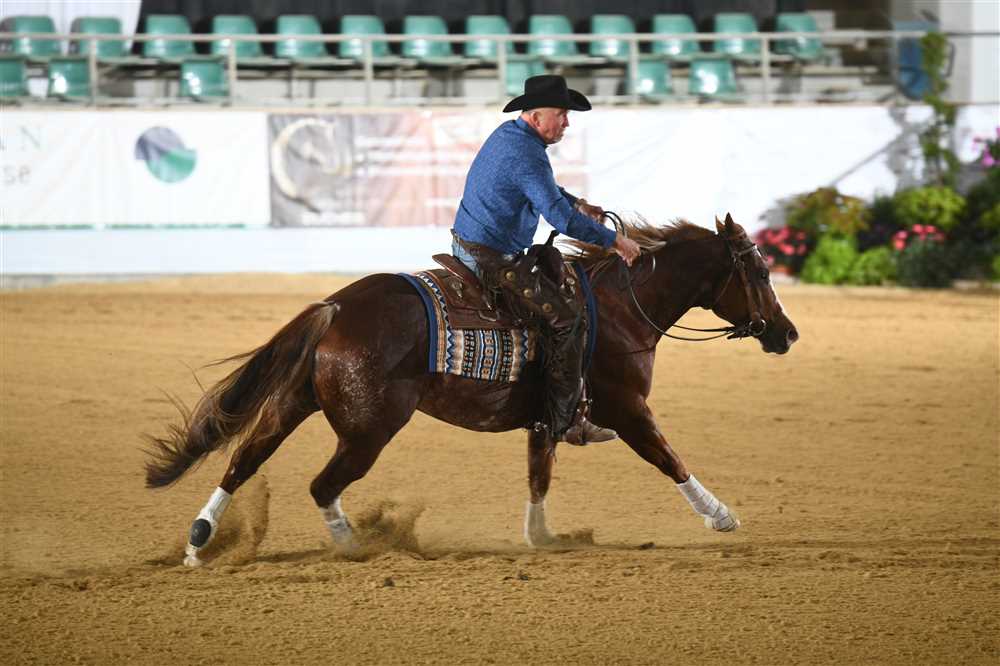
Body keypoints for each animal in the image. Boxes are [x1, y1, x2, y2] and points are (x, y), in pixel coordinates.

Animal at [145, 214, 798, 566]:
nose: (787, 333)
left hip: (295, 404)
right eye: (759, 271)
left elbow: (539, 474)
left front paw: (544, 538)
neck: (617, 306)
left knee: (244, 458)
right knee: (321, 485)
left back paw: (199, 542)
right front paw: (721, 517)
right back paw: (358, 547)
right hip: (367, 430)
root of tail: (335, 308)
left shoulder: (549, 416)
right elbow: (669, 458)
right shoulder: (628, 409)